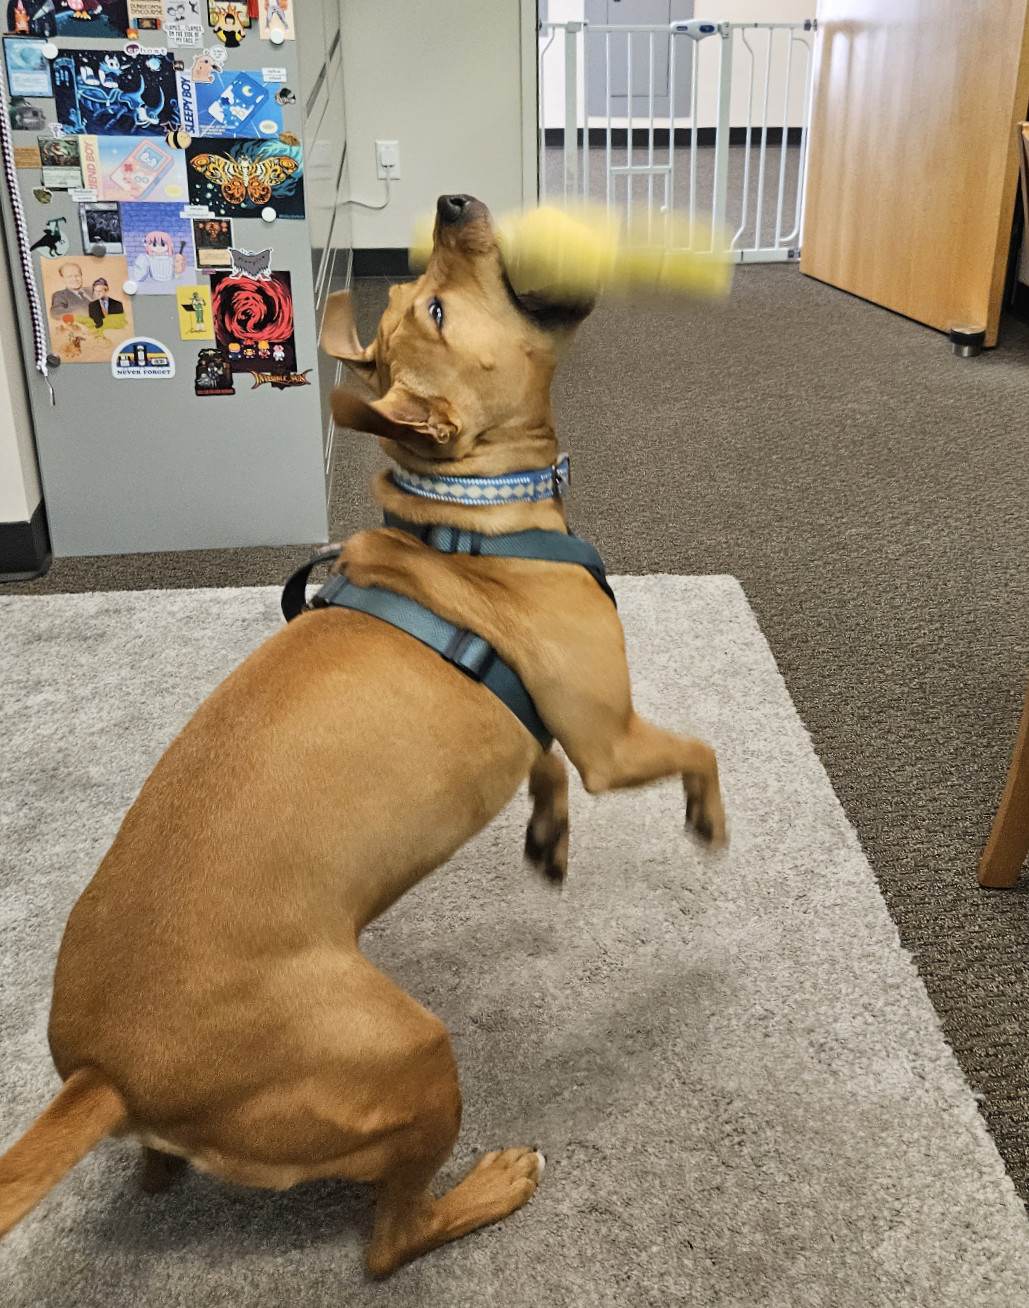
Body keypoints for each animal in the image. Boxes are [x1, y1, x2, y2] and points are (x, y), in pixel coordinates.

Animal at [0, 193, 726, 1276]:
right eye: (434, 307)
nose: (453, 203)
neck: (466, 511)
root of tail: (106, 1073)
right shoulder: (614, 742)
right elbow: (697, 749)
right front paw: (707, 820)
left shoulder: (544, 723)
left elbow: (539, 758)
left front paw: (547, 835)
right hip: (411, 1055)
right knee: (391, 1240)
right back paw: (491, 1187)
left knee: (167, 1172)